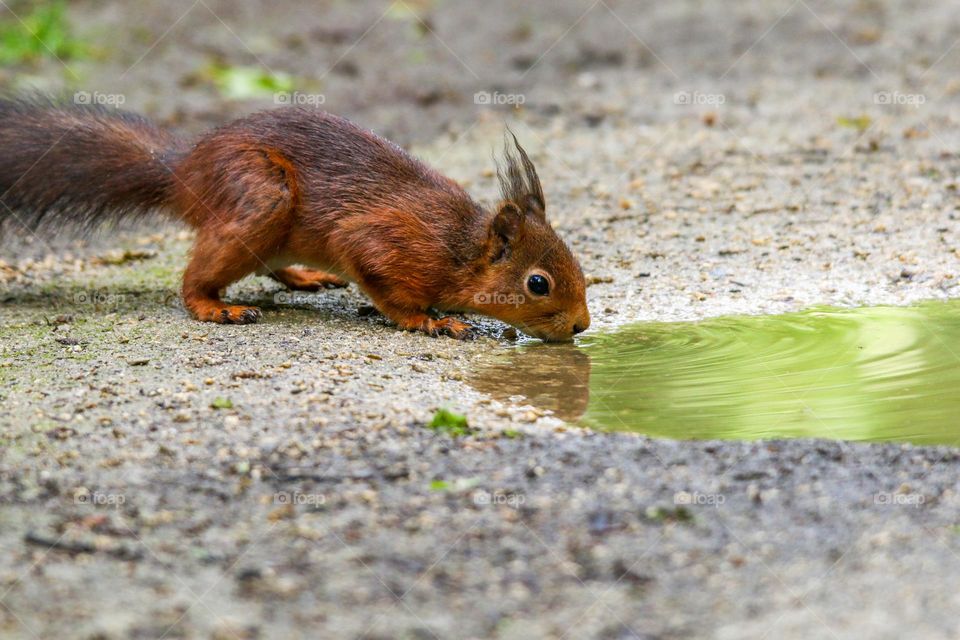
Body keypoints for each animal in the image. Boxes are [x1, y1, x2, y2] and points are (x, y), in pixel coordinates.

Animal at [0, 96, 588, 340]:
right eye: (538, 283)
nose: (582, 325)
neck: (459, 248)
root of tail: (184, 171)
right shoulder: (385, 242)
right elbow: (388, 289)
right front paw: (432, 321)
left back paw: (301, 276)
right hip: (260, 195)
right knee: (194, 279)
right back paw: (215, 307)